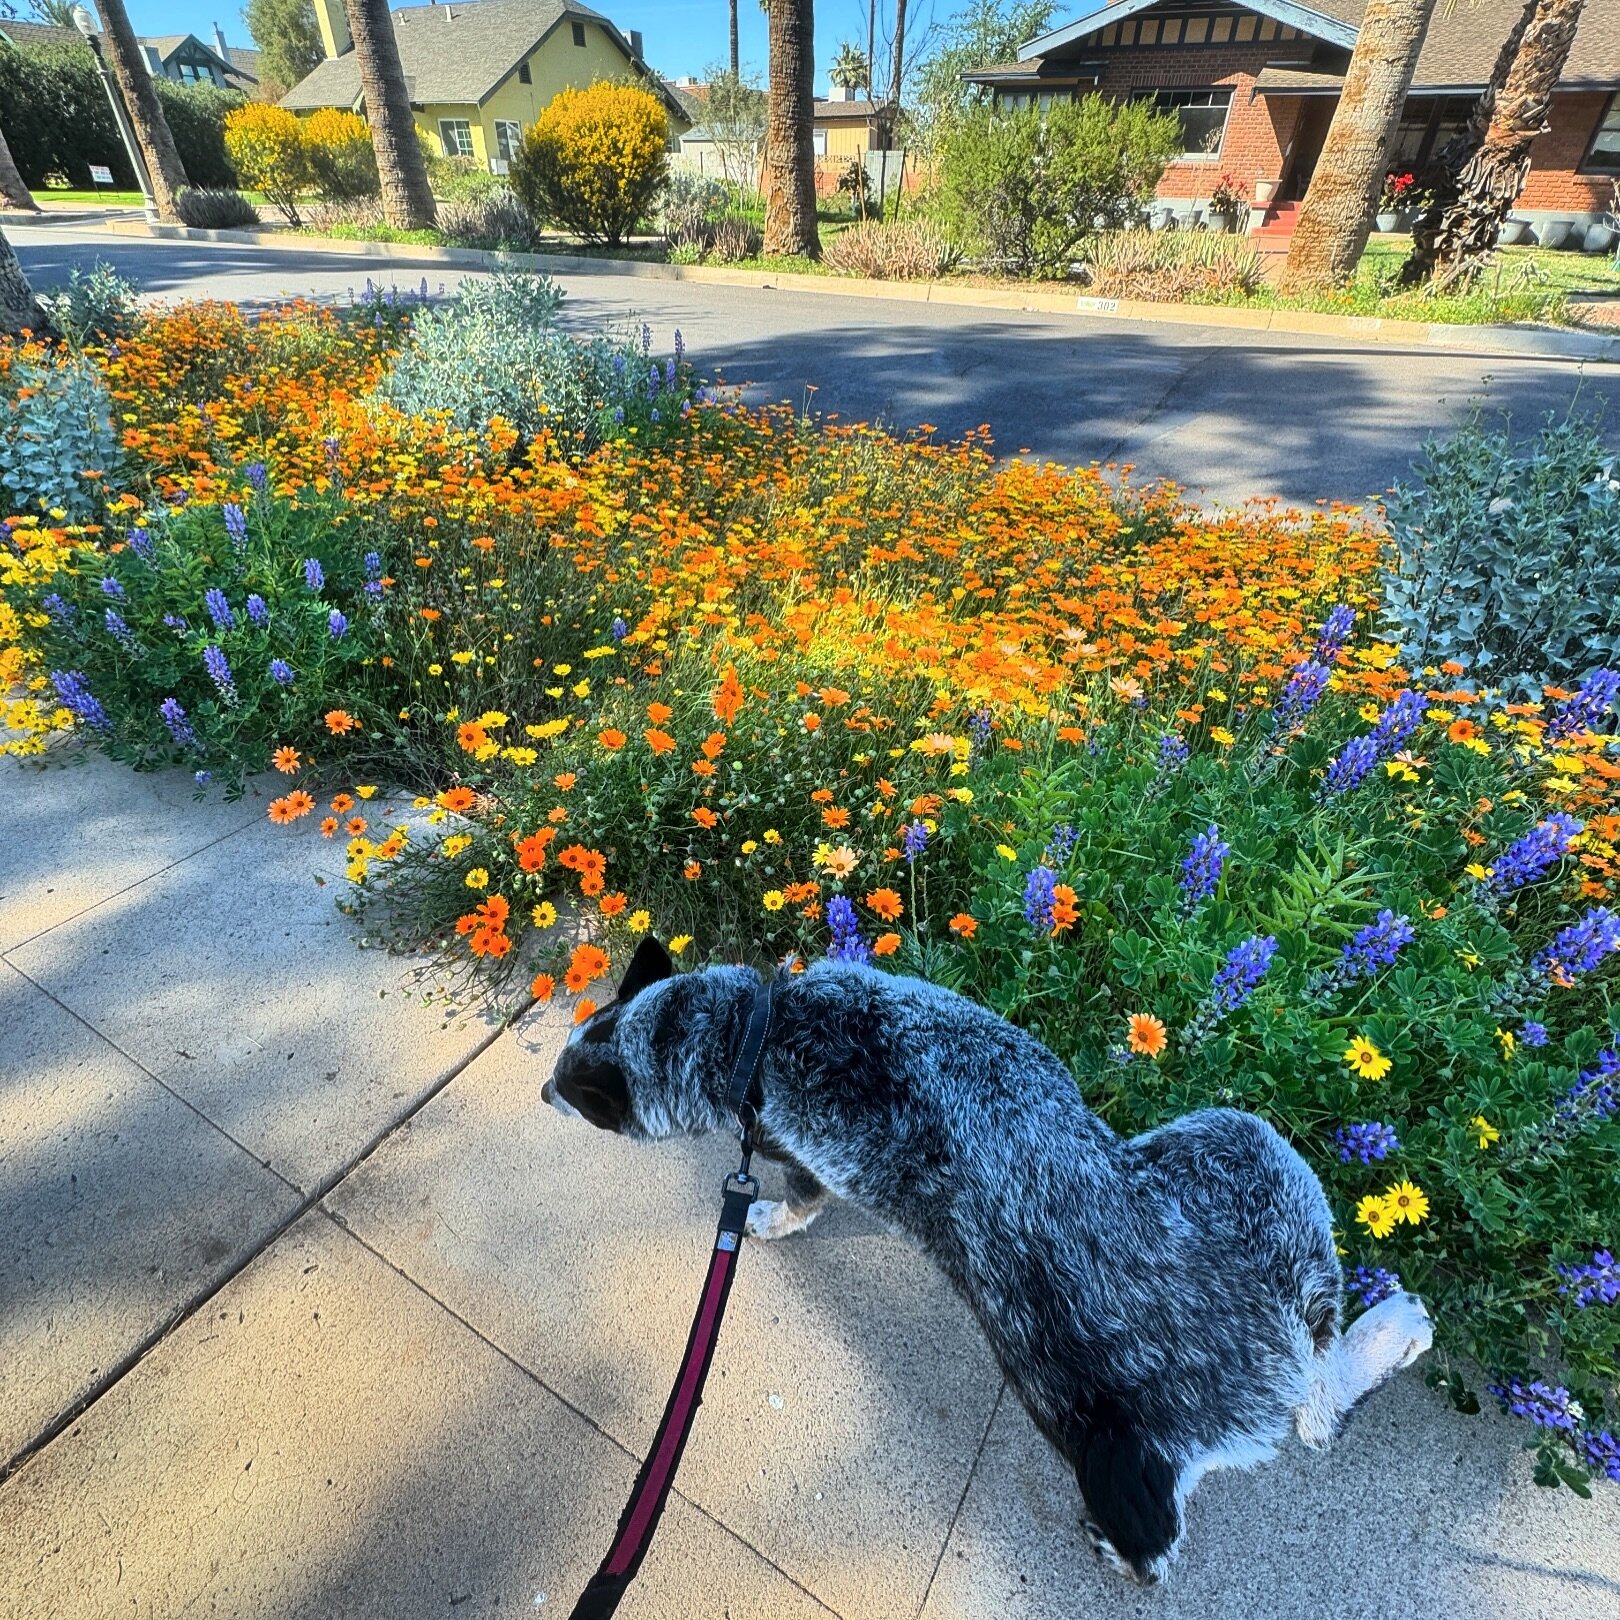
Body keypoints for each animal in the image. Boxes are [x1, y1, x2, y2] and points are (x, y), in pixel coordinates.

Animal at [544, 939, 1432, 1581]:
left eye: (571, 1087)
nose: (545, 1094)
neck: (750, 1031)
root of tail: (1276, 1347)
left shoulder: (802, 1159)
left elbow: (796, 1203)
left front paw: (763, 1218)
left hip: (1076, 1409)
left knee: (1164, 1534)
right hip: (1249, 1148)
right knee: (1327, 1386)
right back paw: (1400, 1327)